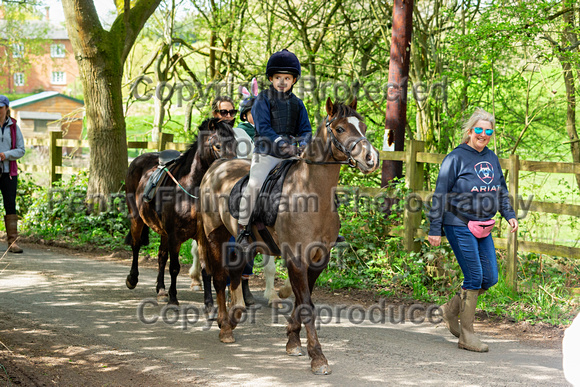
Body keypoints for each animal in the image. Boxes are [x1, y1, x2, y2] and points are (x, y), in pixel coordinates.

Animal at [124, 118, 236, 306]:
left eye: (236, 144)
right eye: (218, 146)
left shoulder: (202, 236)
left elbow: (206, 269)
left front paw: (209, 302)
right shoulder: (174, 235)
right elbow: (175, 267)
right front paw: (173, 298)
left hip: (162, 230)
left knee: (161, 255)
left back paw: (161, 290)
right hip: (136, 218)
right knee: (136, 244)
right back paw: (132, 279)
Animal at [197, 98, 382, 374]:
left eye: (363, 126)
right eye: (340, 129)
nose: (371, 158)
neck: (311, 194)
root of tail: (219, 165)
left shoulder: (318, 259)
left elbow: (301, 300)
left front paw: (293, 340)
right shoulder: (296, 257)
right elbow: (306, 304)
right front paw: (318, 357)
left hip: (246, 243)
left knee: (236, 272)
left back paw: (235, 313)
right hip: (214, 235)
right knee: (220, 277)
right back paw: (225, 326)